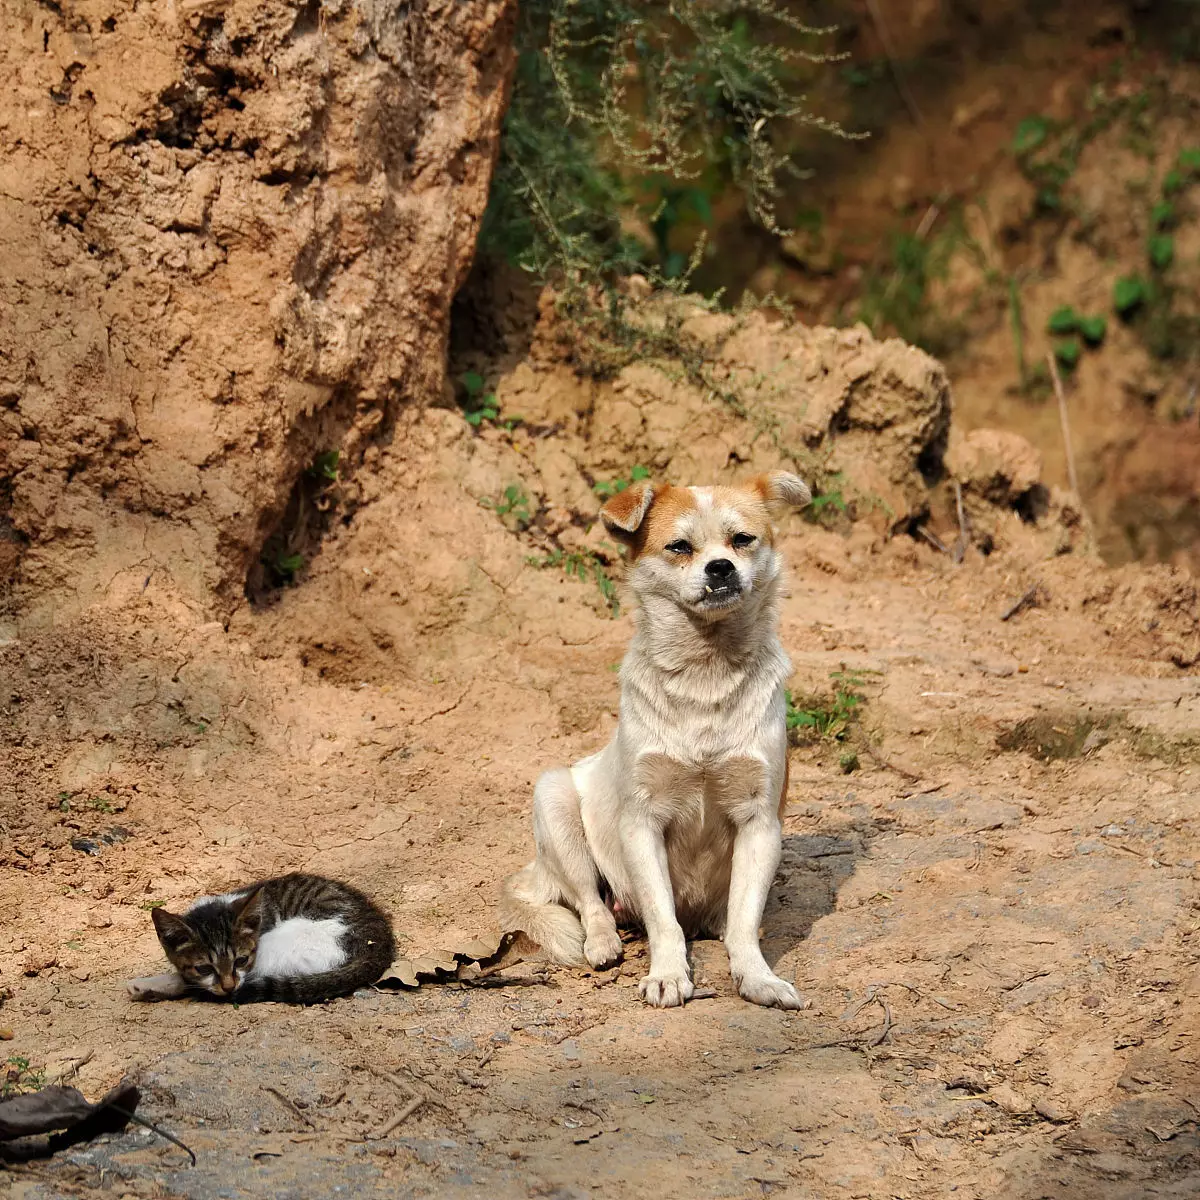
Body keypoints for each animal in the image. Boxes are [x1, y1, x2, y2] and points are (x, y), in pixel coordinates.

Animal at [129, 873, 396, 1003]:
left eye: (241, 960)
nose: (228, 986)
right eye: (204, 967)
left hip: (283, 944)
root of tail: (377, 945)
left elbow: (191, 981)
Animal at [492, 472, 811, 1008]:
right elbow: (664, 919)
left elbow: (745, 921)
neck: (706, 673)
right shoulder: (642, 822)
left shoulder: (761, 821)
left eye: (742, 540)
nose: (720, 567)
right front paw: (667, 975)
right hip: (553, 798)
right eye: (679, 546)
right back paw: (602, 943)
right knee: (590, 902)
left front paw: (756, 976)